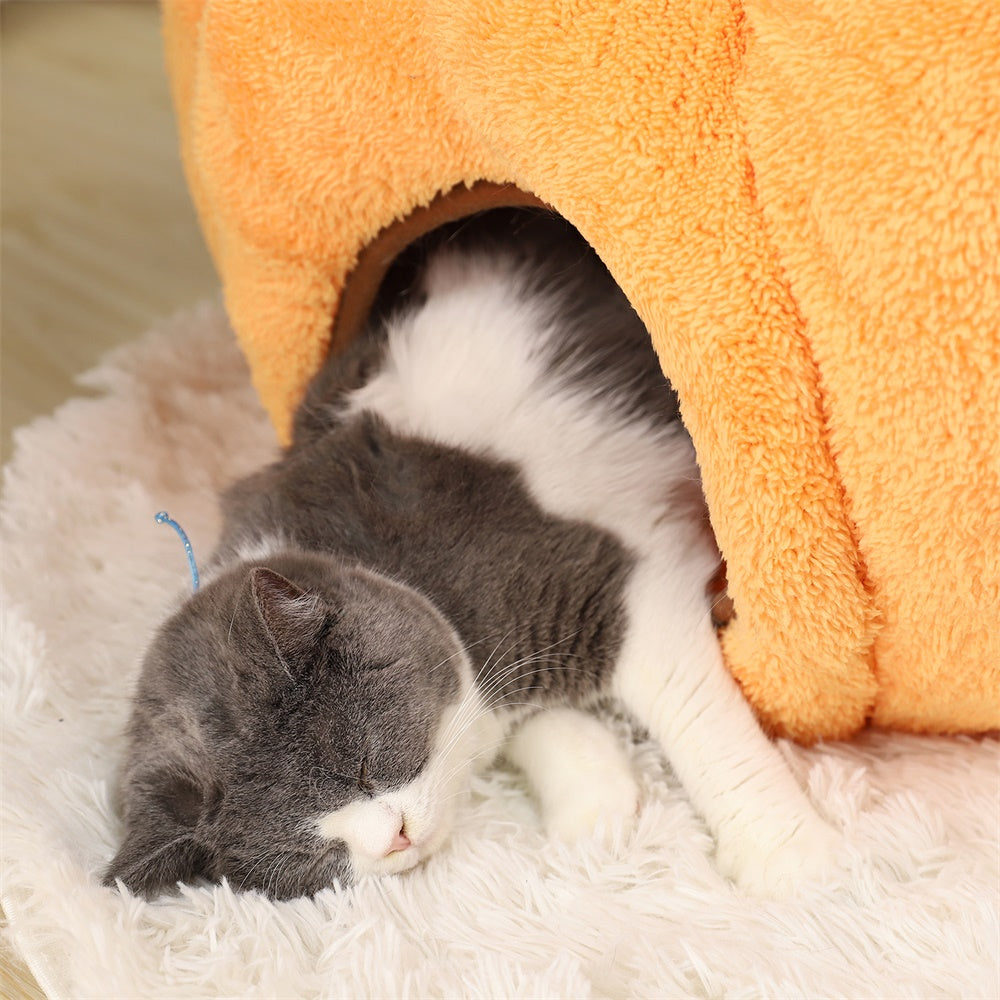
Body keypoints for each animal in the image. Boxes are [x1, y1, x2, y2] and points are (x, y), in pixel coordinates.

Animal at [107, 211, 844, 900]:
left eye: (362, 765)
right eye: (311, 855)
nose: (393, 840)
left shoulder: (605, 586)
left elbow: (695, 721)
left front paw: (793, 860)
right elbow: (533, 722)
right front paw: (595, 802)